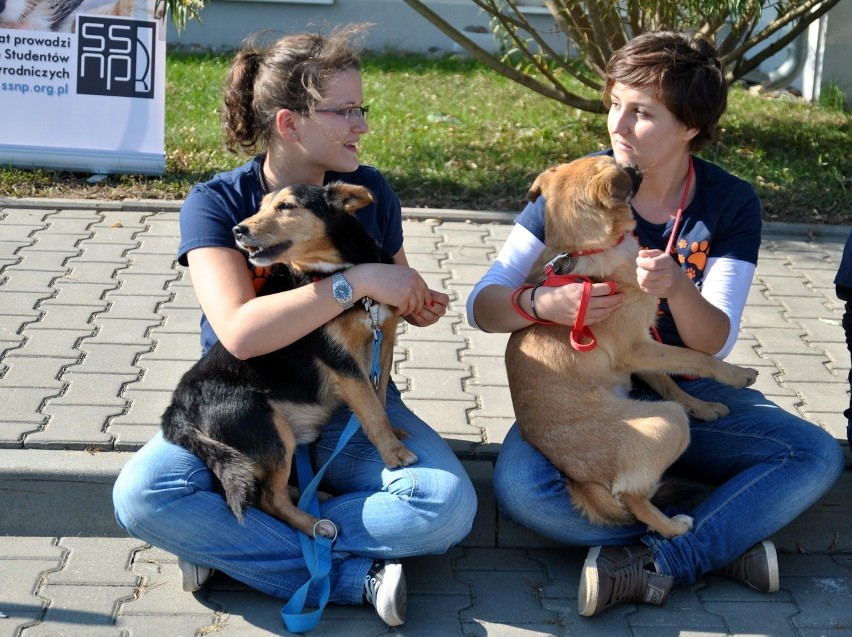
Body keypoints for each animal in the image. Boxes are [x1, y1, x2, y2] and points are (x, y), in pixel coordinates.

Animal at [161, 183, 418, 536]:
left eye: (286, 206)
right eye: (261, 207)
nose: (237, 230)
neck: (339, 272)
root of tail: (179, 405)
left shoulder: (384, 340)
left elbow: (377, 400)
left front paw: (392, 436)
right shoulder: (341, 360)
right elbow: (370, 407)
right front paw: (393, 453)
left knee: (272, 489)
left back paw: (315, 494)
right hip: (268, 429)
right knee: (268, 498)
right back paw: (315, 525)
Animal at [502, 154, 756, 536]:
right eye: (618, 166)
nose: (635, 165)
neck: (586, 250)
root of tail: (582, 478)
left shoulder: (643, 350)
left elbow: (668, 381)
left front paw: (702, 406)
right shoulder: (637, 348)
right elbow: (696, 357)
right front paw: (736, 374)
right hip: (670, 422)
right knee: (631, 497)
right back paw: (673, 526)